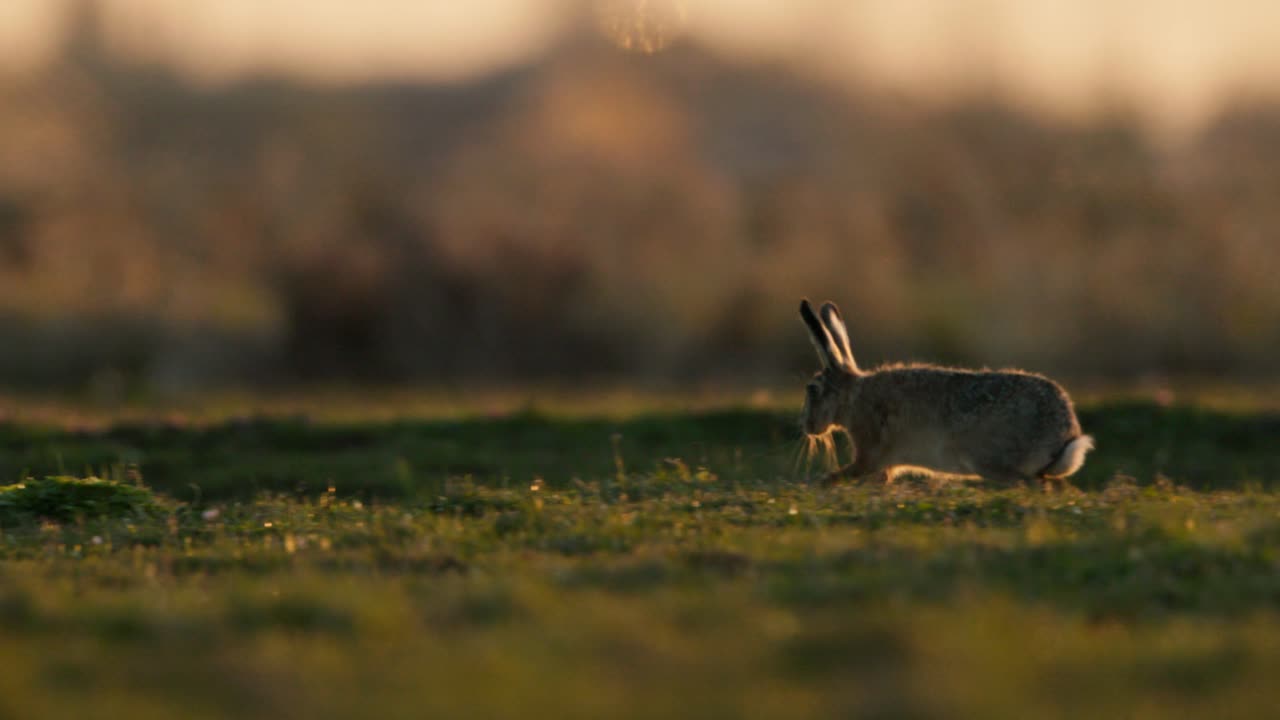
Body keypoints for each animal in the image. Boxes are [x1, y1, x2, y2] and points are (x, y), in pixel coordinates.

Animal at [798, 298, 1093, 487]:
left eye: (813, 390)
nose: (806, 426)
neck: (853, 397)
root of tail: (1064, 436)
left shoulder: (870, 451)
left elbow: (851, 472)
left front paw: (820, 483)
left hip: (989, 460)